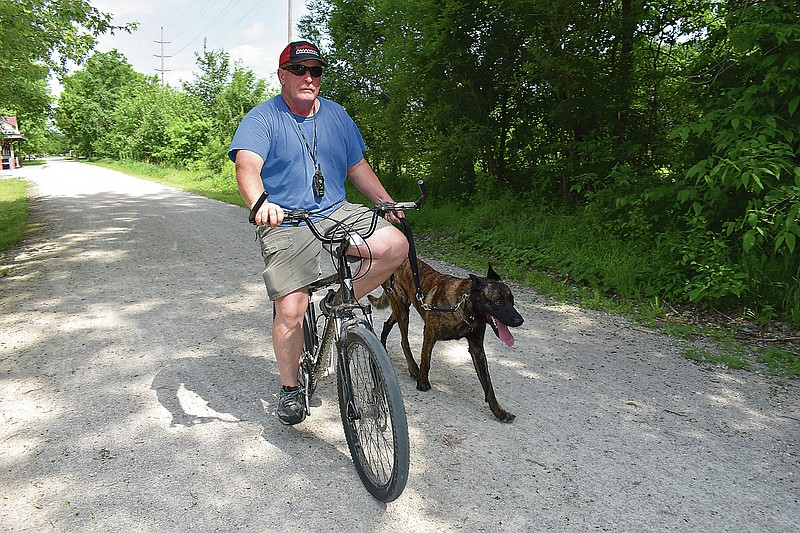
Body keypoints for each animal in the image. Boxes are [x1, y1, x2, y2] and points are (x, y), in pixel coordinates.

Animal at [368, 258, 524, 420]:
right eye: (498, 301)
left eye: (512, 301)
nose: (519, 320)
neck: (465, 306)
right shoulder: (429, 334)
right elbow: (426, 361)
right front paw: (422, 382)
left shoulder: (477, 349)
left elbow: (488, 385)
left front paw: (498, 411)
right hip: (402, 309)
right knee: (404, 341)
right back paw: (413, 368)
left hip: (401, 308)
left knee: (387, 324)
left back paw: (382, 344)